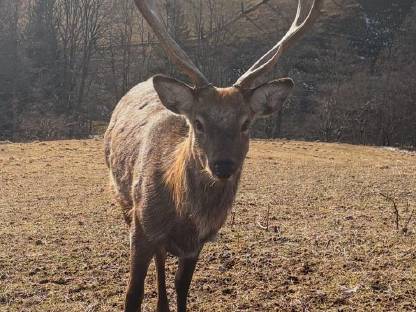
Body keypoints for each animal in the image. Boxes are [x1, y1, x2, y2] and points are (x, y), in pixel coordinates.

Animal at [103, 0, 322, 310]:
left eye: (246, 123)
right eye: (198, 123)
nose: (223, 165)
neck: (183, 216)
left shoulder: (198, 243)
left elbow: (182, 287)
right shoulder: (141, 227)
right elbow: (132, 295)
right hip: (121, 197)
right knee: (158, 257)